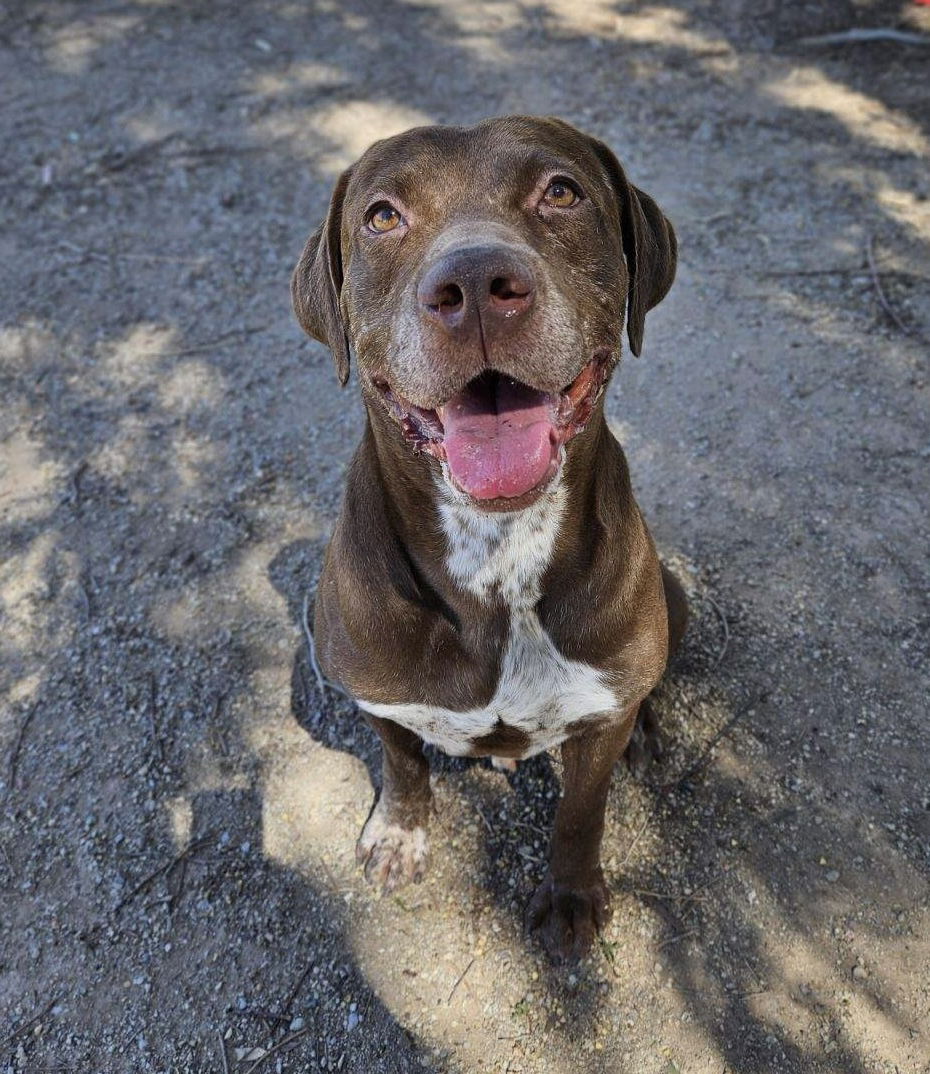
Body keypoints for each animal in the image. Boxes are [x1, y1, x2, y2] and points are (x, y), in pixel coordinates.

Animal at [294, 117, 683, 966]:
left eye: (562, 192)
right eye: (382, 216)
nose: (474, 285)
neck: (498, 553)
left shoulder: (594, 720)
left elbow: (581, 812)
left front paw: (570, 898)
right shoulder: (375, 690)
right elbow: (403, 759)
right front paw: (400, 833)